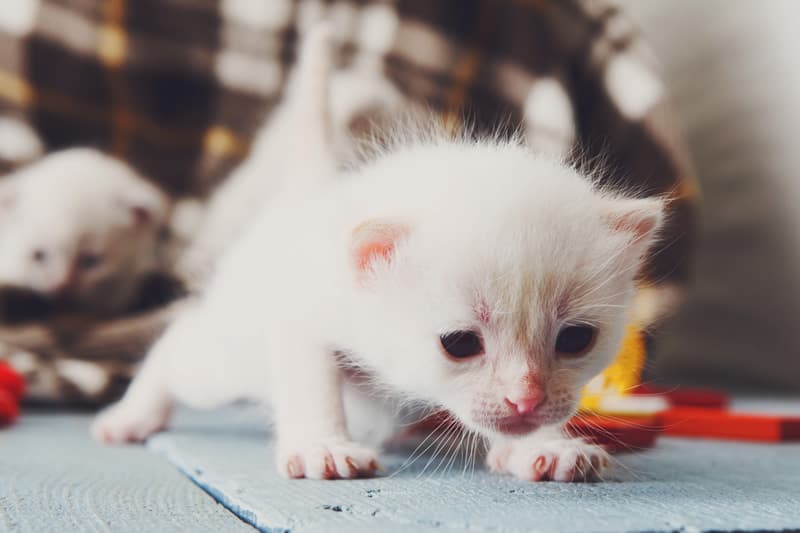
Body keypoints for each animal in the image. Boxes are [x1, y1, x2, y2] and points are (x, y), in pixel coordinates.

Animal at [92, 25, 664, 482]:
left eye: (575, 339)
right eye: (459, 343)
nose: (526, 399)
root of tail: (310, 192)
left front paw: (543, 448)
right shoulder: (301, 318)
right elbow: (312, 383)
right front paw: (322, 447)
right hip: (228, 356)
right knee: (178, 345)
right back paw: (133, 415)